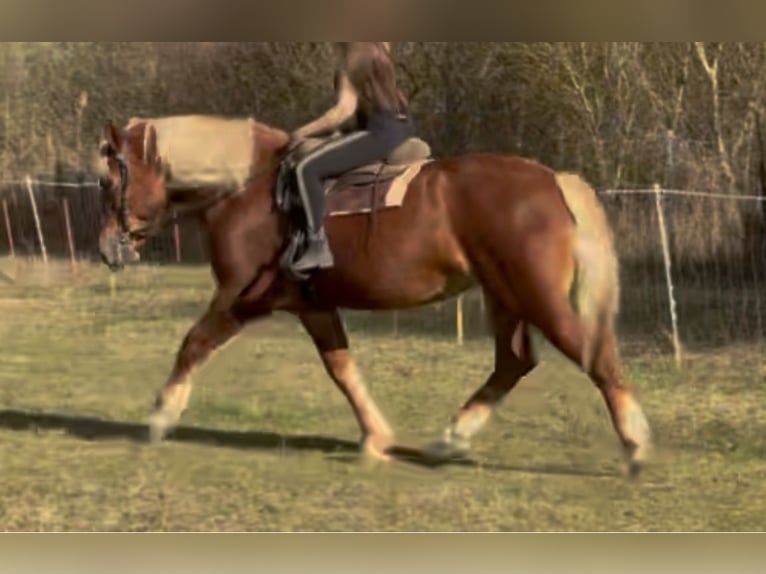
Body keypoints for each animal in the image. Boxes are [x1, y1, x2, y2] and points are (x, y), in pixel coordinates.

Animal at [96, 114, 651, 477]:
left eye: (109, 181)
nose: (106, 248)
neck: (249, 191)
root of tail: (552, 180)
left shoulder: (239, 298)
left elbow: (193, 343)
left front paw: (160, 415)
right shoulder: (312, 305)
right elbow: (342, 368)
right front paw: (376, 437)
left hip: (535, 297)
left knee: (595, 357)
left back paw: (635, 445)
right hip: (505, 297)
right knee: (514, 363)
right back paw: (451, 439)